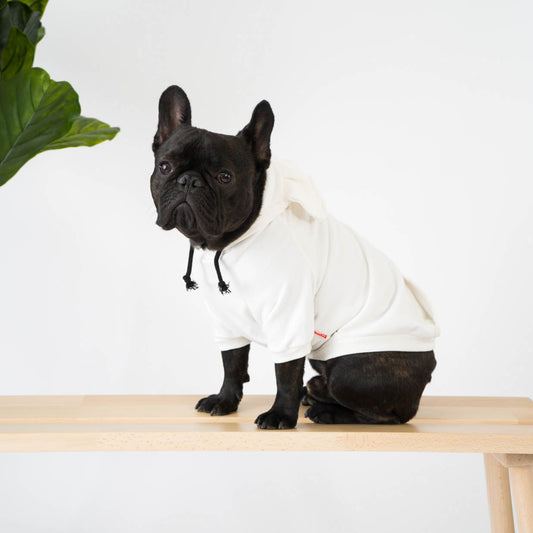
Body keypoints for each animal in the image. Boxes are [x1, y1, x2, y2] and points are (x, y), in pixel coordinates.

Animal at [150, 86, 436, 428]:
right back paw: (314, 395)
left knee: (390, 415)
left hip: (350, 369)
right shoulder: (226, 319)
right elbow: (232, 362)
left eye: (224, 177)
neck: (226, 244)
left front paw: (280, 415)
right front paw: (225, 400)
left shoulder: (289, 313)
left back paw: (326, 410)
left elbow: (285, 373)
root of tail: (428, 368)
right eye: (165, 167)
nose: (189, 181)